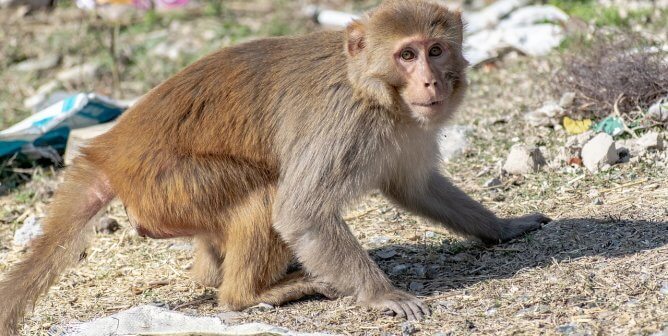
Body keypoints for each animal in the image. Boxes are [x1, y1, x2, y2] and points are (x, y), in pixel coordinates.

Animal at [0, 0, 548, 334]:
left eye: (436, 50)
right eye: (407, 55)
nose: (432, 82)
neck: (372, 89)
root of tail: (109, 150)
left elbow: (416, 188)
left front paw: (503, 226)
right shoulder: (345, 124)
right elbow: (301, 212)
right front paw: (381, 295)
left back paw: (213, 276)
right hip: (168, 185)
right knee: (262, 195)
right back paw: (247, 295)